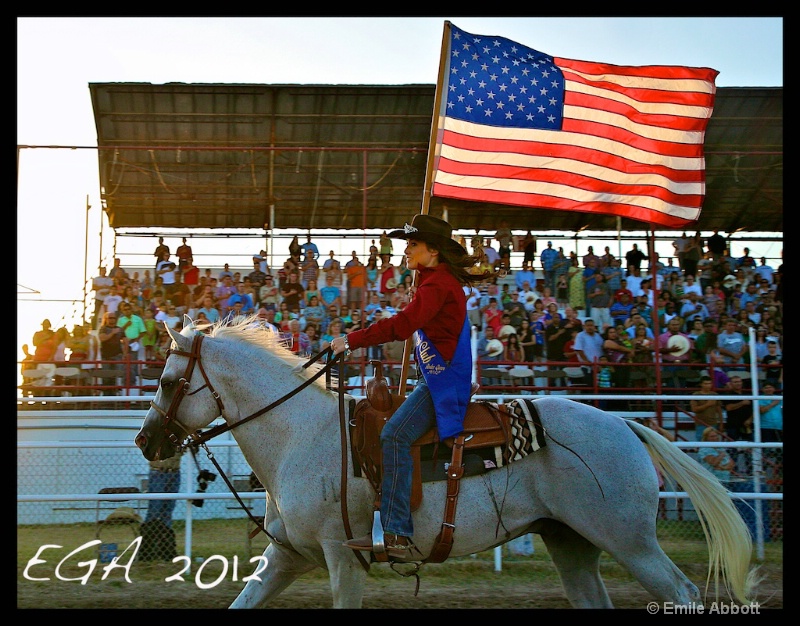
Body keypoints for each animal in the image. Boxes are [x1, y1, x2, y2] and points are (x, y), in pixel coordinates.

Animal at [134, 314, 760, 608]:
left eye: (165, 381)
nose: (145, 442)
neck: (300, 436)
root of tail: (624, 423)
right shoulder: (287, 555)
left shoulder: (343, 557)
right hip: (572, 542)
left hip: (630, 540)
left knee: (683, 593)